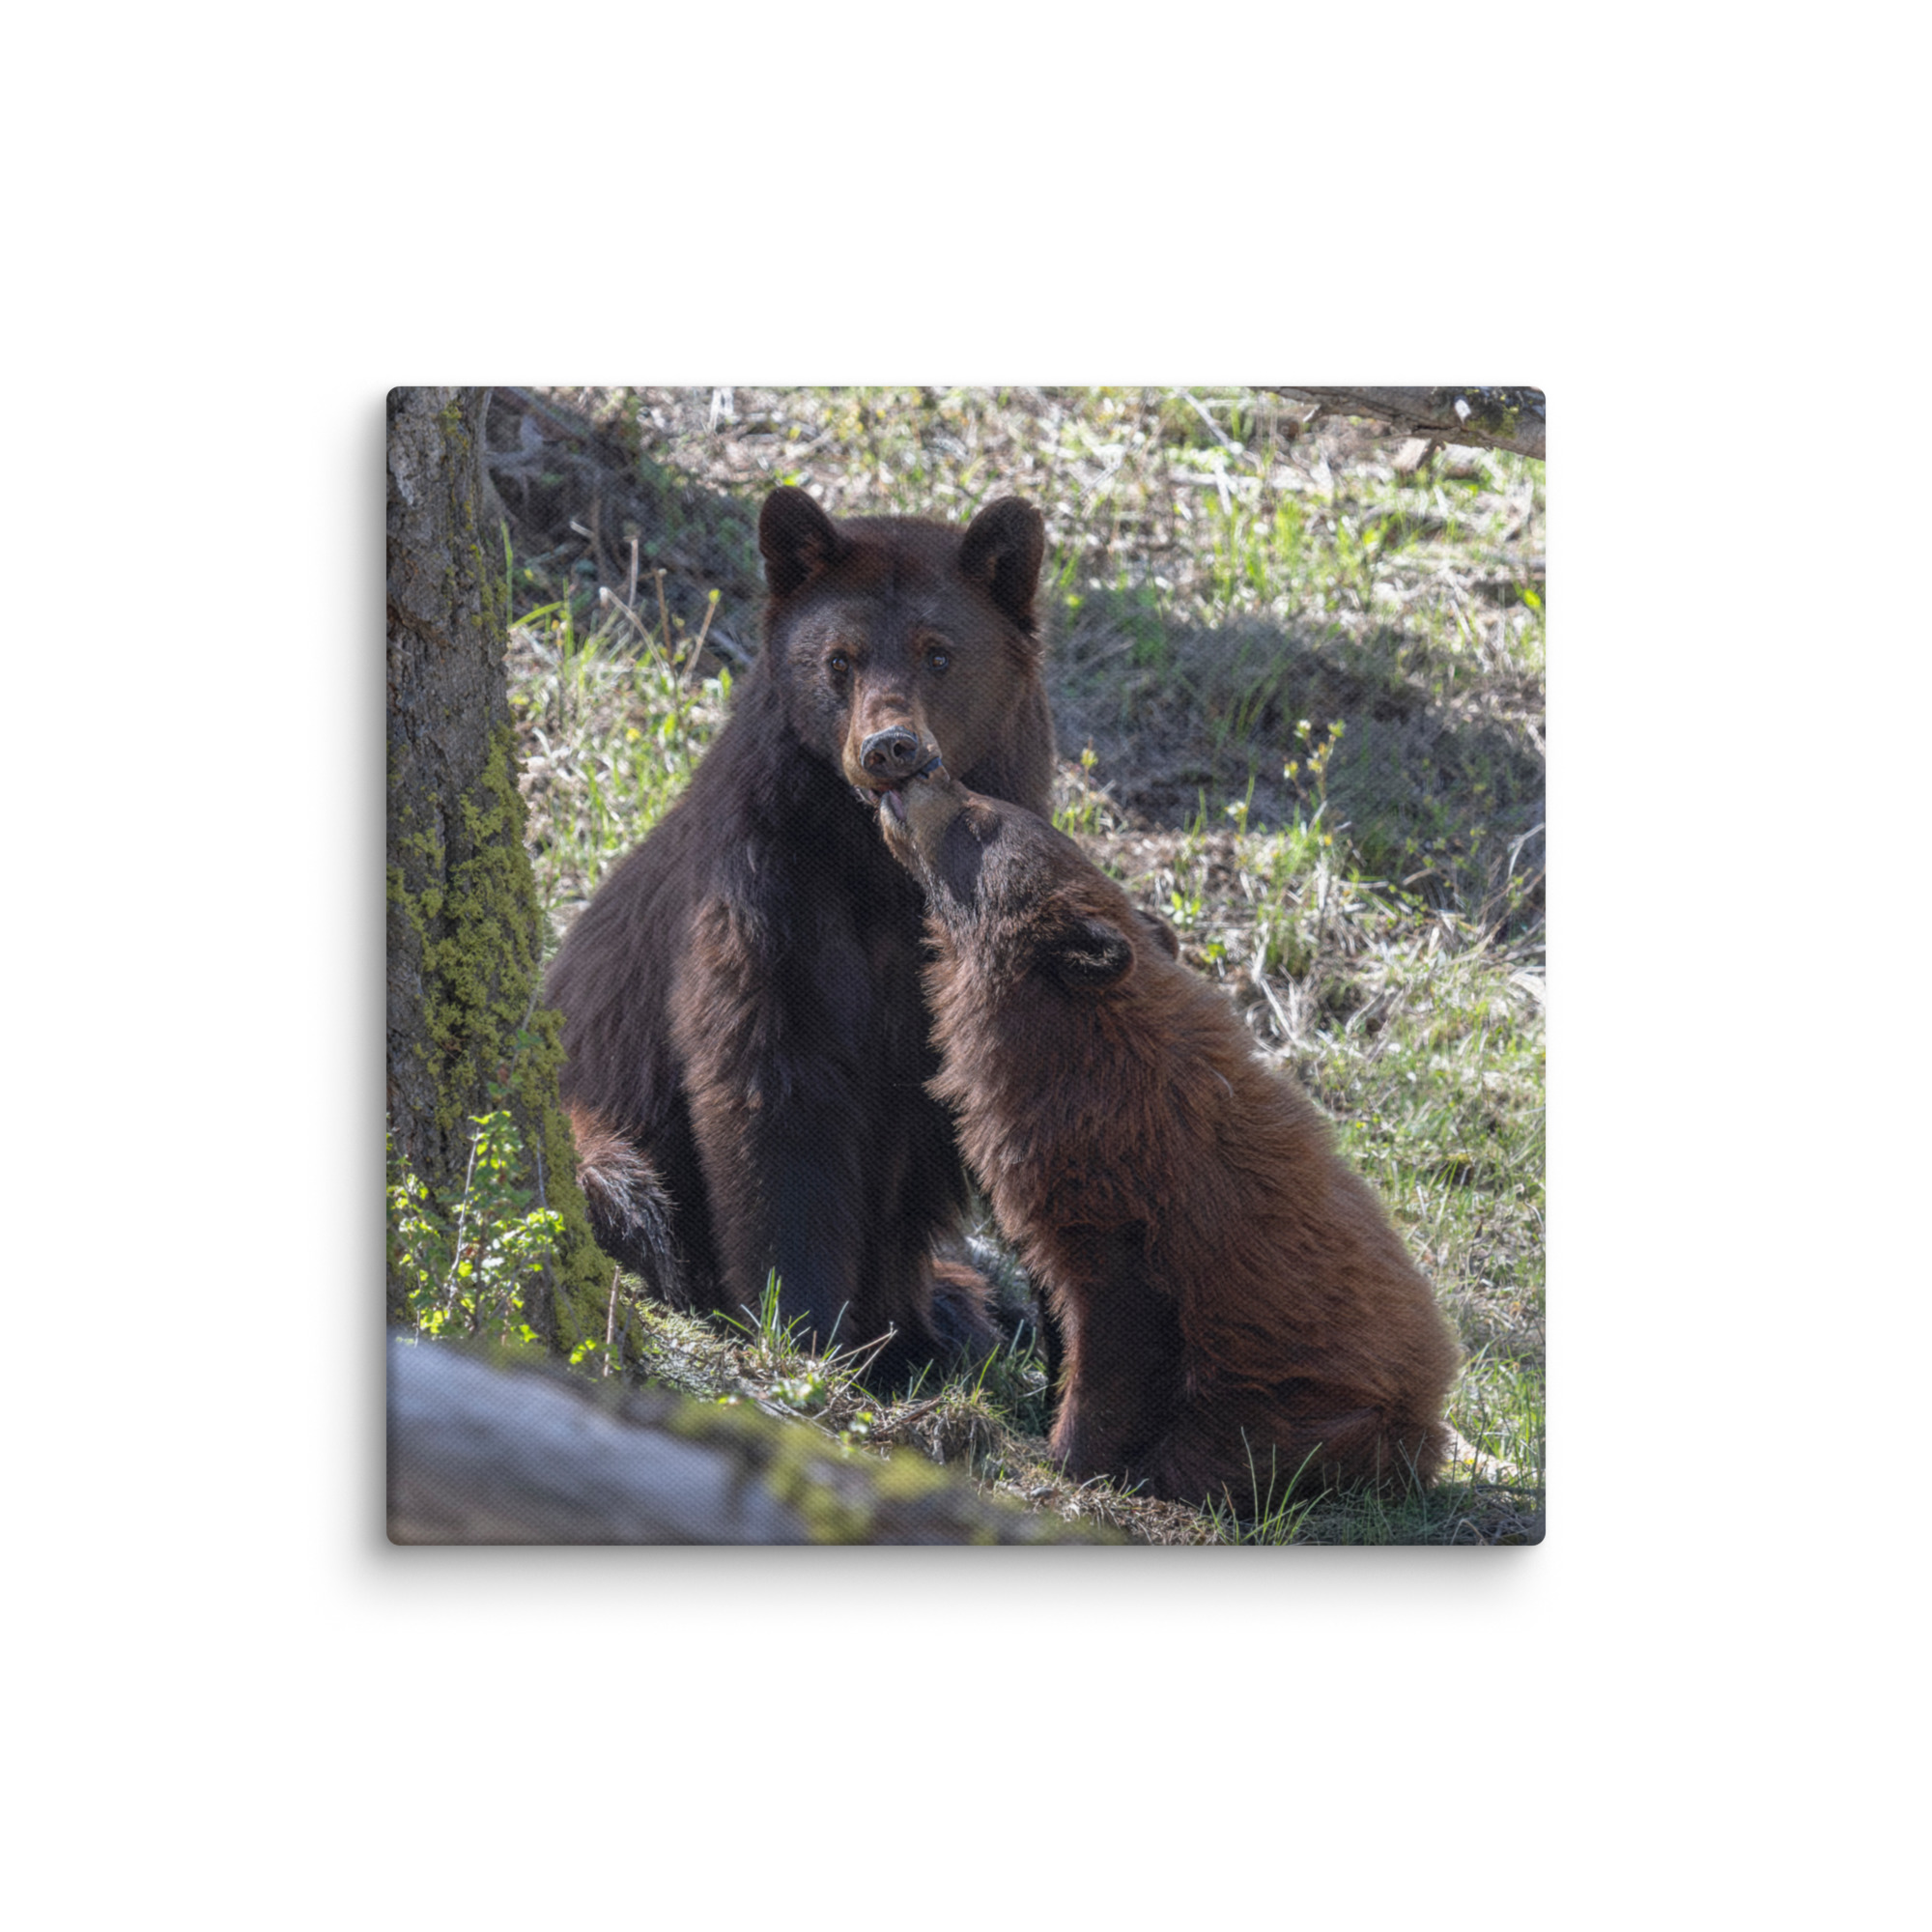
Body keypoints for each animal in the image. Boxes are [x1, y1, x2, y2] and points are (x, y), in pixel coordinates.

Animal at [544, 486, 1055, 1390]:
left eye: (939, 653)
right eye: (839, 660)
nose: (890, 747)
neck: (880, 868)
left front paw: (913, 1329)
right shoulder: (765, 895)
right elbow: (773, 1092)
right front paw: (806, 1329)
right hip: (593, 1129)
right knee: (626, 1190)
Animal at [876, 763, 1463, 1506]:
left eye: (980, 819)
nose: (926, 770)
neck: (1077, 1050)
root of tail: (1431, 1416)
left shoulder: (1127, 1203)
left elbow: (1116, 1336)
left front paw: (1066, 1455)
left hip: (1313, 1415)